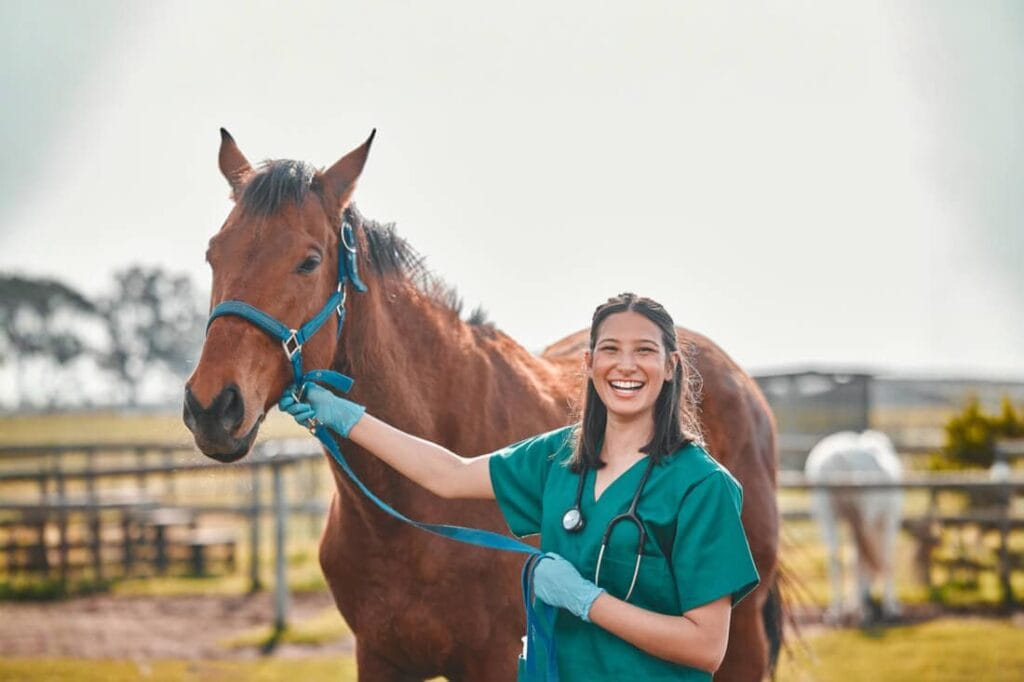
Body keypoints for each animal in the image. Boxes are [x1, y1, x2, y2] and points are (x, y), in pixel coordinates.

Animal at [804, 430, 904, 625]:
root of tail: (839, 456)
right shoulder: (887, 523)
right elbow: (885, 561)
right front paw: (889, 608)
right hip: (864, 518)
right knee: (861, 560)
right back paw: (862, 613)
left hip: (828, 515)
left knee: (835, 559)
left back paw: (836, 612)